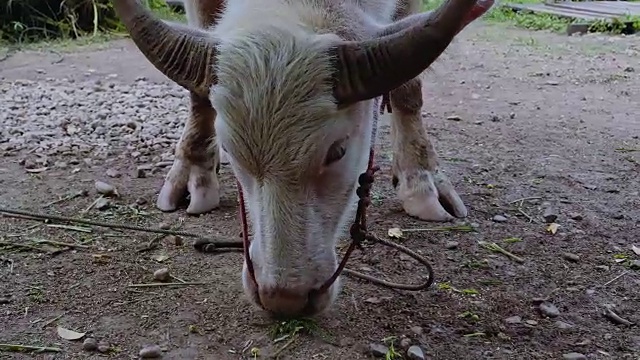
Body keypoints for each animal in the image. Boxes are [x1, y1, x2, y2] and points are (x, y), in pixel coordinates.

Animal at [112, 0, 492, 316]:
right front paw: (193, 168)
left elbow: (407, 86)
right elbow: (198, 93)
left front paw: (421, 180)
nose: (283, 299)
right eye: (231, 152)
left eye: (337, 151)